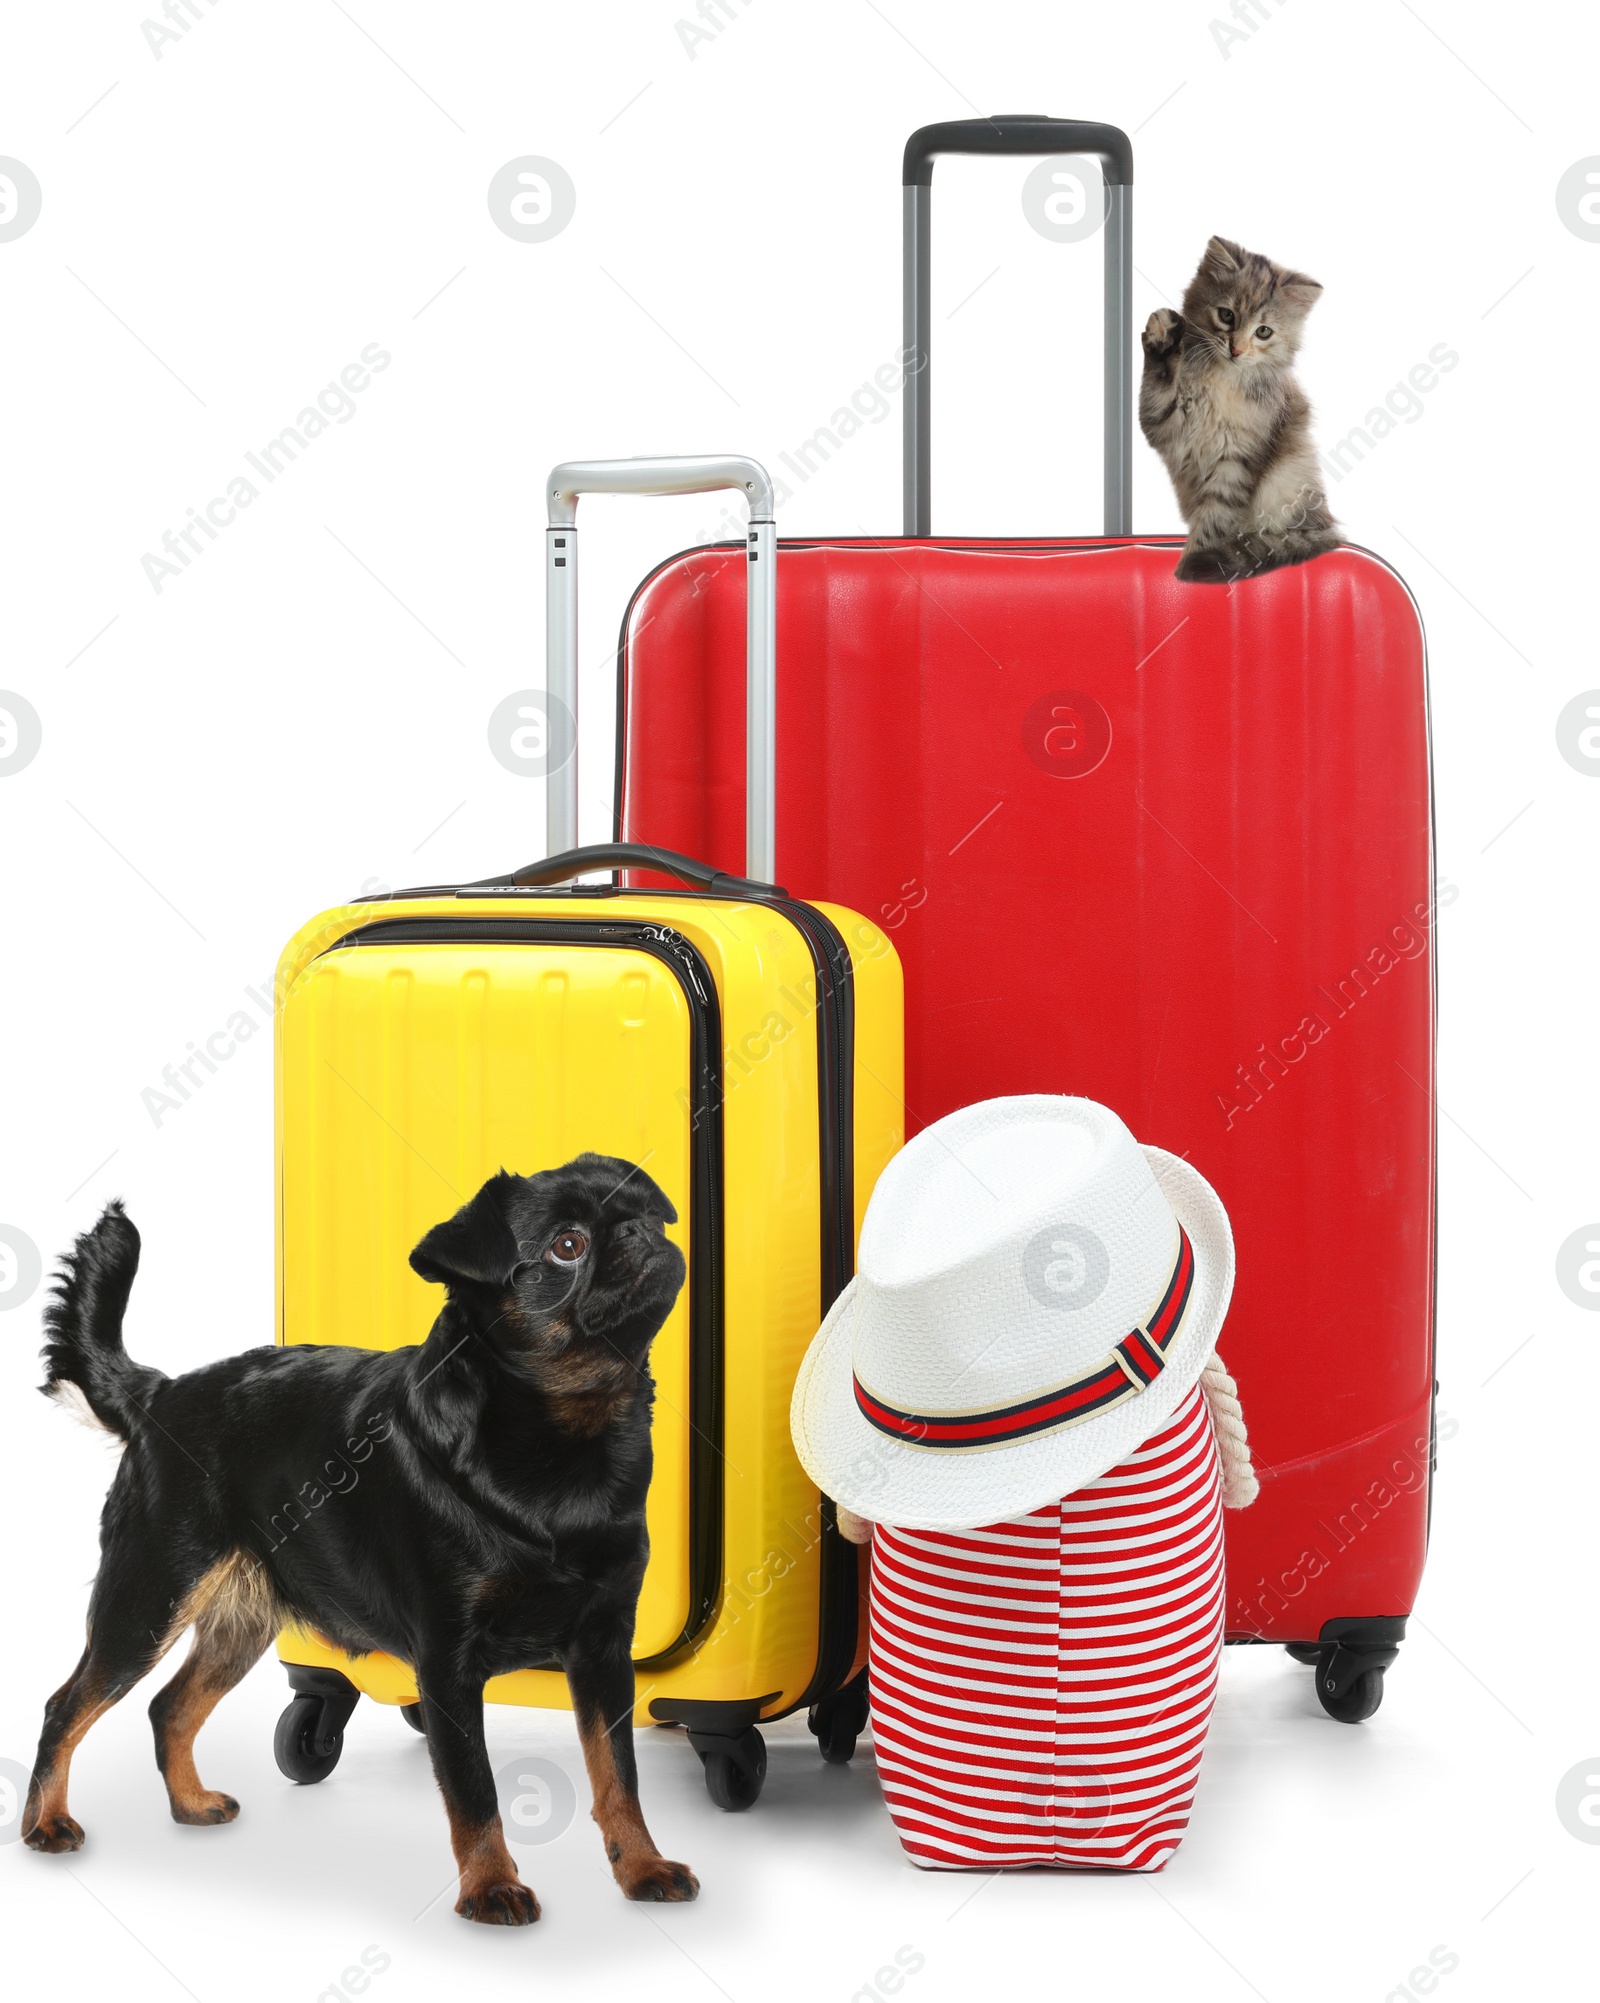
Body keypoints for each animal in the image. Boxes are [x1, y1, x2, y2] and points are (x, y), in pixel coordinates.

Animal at [18, 1153, 692, 1914]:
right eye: (567, 1245)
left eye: (650, 1211)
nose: (642, 1230)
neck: (565, 1441)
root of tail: (158, 1396)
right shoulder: (447, 1664)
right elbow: (475, 1789)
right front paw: (491, 1886)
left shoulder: (603, 1652)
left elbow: (618, 1775)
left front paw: (641, 1867)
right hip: (148, 1598)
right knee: (67, 1704)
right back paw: (47, 1822)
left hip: (239, 1623)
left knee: (170, 1707)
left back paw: (190, 1803)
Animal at [1137, 235, 1337, 584]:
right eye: (1227, 316)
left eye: (1264, 331)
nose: (1236, 350)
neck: (1222, 379)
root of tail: (1329, 527)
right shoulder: (1166, 425)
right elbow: (1158, 384)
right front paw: (1163, 340)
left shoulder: (1237, 460)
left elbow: (1213, 522)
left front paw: (1189, 568)